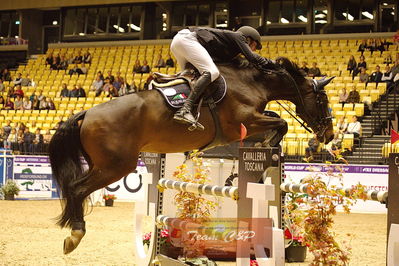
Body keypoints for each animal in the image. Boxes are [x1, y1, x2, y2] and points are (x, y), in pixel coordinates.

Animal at [48, 56, 336, 254]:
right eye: (323, 100)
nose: (329, 135)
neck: (252, 83)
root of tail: (87, 113)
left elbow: (278, 120)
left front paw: (268, 144)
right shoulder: (244, 121)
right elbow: (281, 123)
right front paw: (269, 144)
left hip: (102, 164)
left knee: (77, 189)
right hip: (115, 166)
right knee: (77, 189)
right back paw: (75, 234)